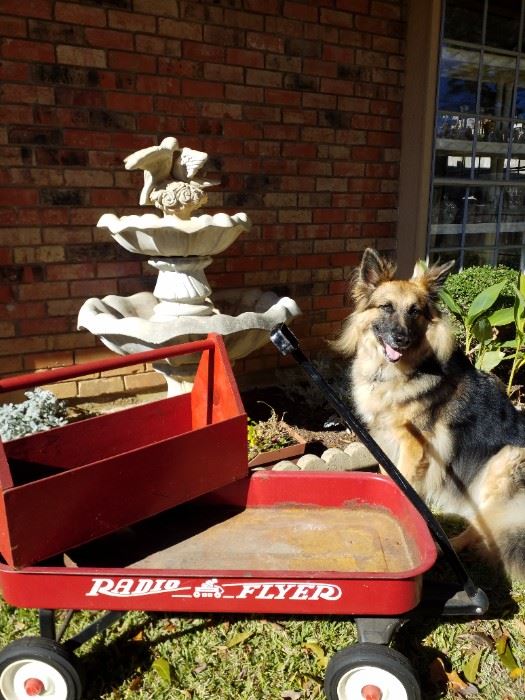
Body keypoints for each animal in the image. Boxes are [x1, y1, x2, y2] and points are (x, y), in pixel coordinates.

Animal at [334, 249, 524, 576]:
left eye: (415, 312)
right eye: (386, 307)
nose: (401, 339)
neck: (399, 372)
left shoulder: (414, 446)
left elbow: (406, 486)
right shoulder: (386, 442)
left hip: (503, 463)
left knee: (485, 528)